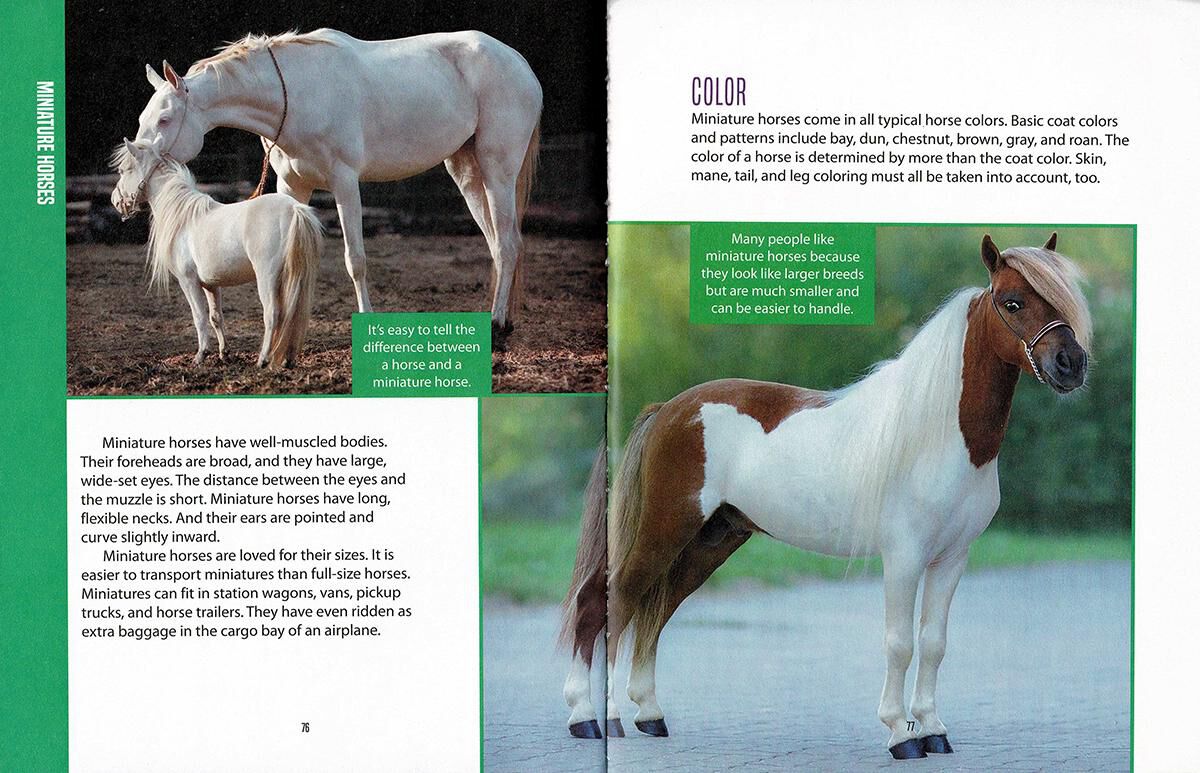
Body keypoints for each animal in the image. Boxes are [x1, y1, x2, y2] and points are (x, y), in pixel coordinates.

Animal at [110, 136, 323, 369]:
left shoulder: (189, 281)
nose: (115, 200)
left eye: (123, 170)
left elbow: (199, 317)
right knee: (294, 313)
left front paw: (201, 355)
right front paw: (224, 353)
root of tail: (294, 209)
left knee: (273, 314)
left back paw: (263, 359)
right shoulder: (211, 284)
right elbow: (215, 317)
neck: (185, 217)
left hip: (268, 277)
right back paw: (287, 359)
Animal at [118, 29, 542, 338]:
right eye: (143, 118)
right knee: (497, 243)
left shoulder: (344, 183)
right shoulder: (292, 187)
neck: (297, 94)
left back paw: (497, 324)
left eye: (165, 119)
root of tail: (520, 63)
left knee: (507, 244)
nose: (122, 196)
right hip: (466, 171)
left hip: (497, 170)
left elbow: (356, 260)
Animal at [560, 234, 1092, 759]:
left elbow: (934, 642)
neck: (938, 436)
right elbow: (900, 643)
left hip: (710, 540)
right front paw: (901, 734)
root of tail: (668, 410)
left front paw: (933, 729)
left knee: (656, 610)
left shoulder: (952, 558)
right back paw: (591, 717)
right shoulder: (904, 557)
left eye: (1063, 298)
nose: (1071, 365)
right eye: (1013, 301)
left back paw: (649, 714)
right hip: (663, 529)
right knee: (609, 601)